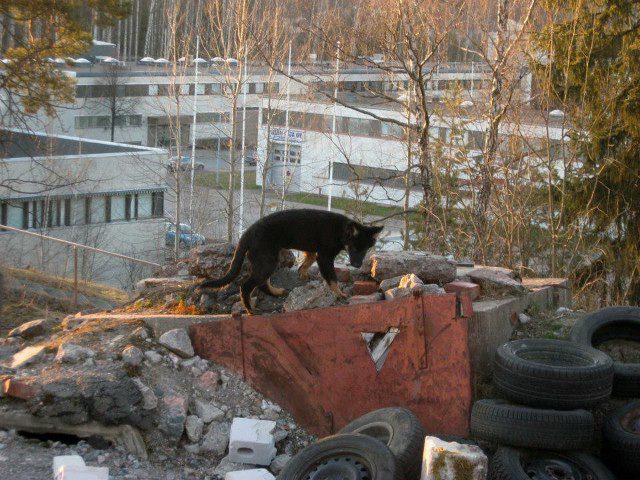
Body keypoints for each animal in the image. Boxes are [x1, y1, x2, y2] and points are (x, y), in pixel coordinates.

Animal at [198, 208, 382, 314]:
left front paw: (303, 272)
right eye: (354, 248)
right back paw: (251, 310)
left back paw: (276, 292)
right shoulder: (325, 257)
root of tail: (247, 233)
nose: (357, 265)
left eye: (365, 249)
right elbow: (332, 278)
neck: (341, 230)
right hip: (268, 260)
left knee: (262, 283)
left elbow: (309, 258)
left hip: (268, 259)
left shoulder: (312, 248)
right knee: (247, 285)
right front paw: (340, 294)